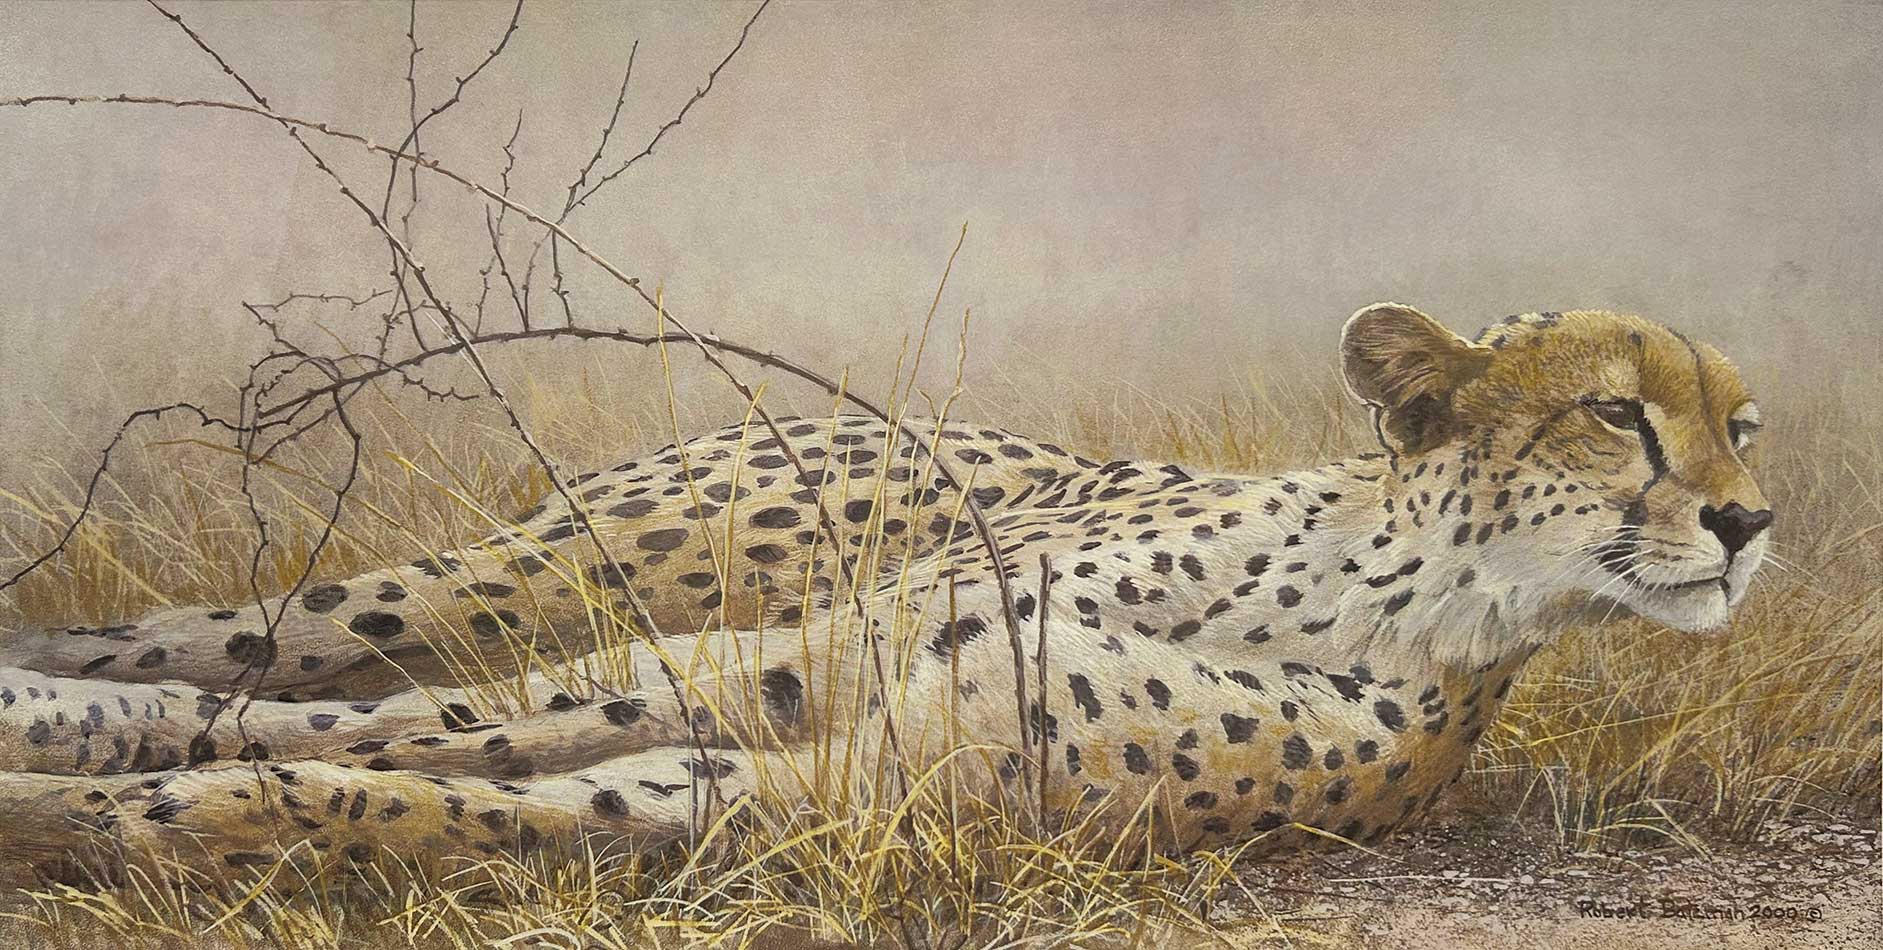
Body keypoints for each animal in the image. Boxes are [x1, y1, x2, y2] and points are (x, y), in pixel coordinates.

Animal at [0, 303, 1771, 883]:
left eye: (1739, 423)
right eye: (1616, 411)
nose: (1750, 518)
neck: (1366, 580)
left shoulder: (869, 766)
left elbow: (444, 786)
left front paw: (104, 816)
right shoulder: (801, 659)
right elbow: (426, 737)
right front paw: (76, 773)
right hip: (527, 574)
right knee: (254, 643)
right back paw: (52, 678)